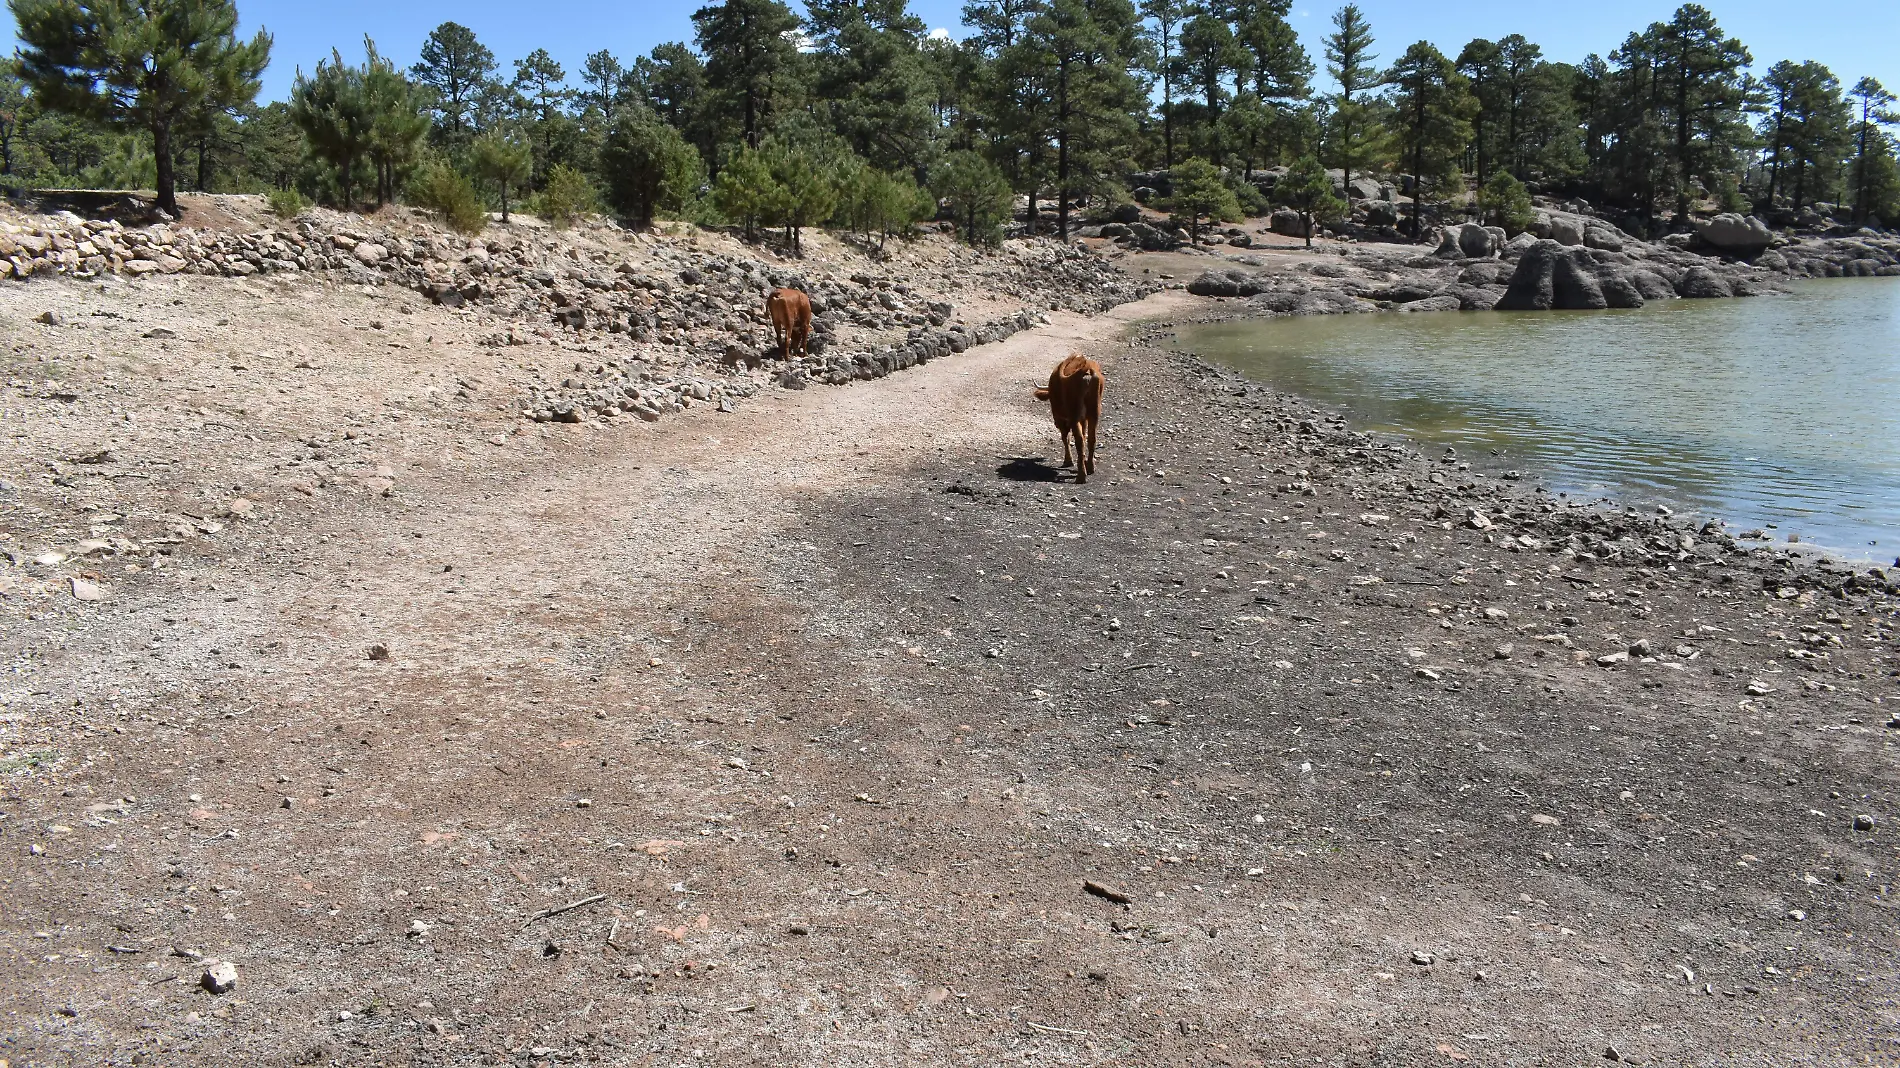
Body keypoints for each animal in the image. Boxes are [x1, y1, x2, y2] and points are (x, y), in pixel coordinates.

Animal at [1033, 351, 1109, 480]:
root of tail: (1086, 370)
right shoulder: (1083, 419)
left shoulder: (1061, 419)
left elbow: (1066, 438)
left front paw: (1068, 461)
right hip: (1094, 414)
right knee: (1091, 438)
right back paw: (1090, 468)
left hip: (1074, 417)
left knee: (1079, 440)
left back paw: (1081, 476)